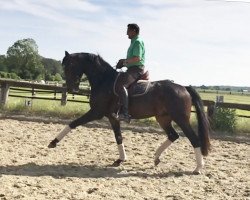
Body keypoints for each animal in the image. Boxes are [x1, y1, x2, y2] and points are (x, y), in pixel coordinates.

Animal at [47, 50, 210, 174]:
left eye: (69, 66)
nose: (71, 88)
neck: (104, 80)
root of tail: (183, 88)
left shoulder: (96, 112)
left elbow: (73, 123)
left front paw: (53, 142)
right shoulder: (112, 117)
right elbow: (118, 137)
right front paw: (121, 159)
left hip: (180, 119)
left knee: (194, 140)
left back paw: (198, 168)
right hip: (163, 118)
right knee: (173, 135)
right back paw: (156, 158)